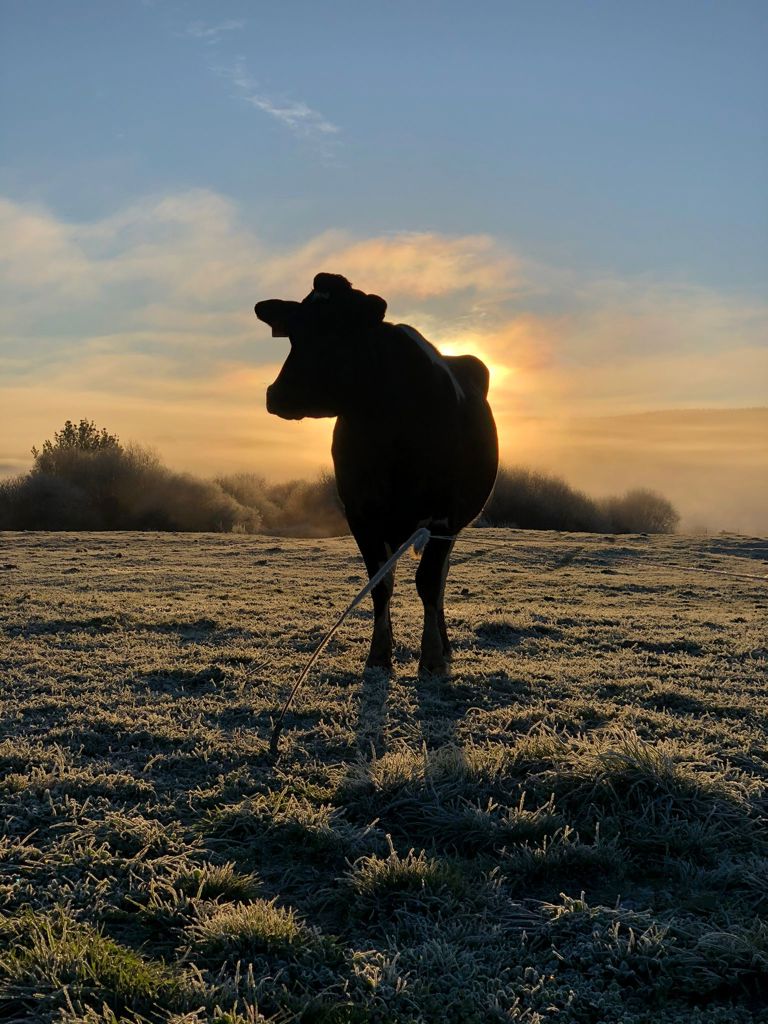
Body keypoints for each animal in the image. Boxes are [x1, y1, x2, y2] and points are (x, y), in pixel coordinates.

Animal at [256, 272, 501, 675]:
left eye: (338, 330)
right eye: (294, 331)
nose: (277, 395)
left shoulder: (443, 515)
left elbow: (428, 582)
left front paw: (432, 656)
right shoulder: (360, 511)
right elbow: (380, 582)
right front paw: (379, 653)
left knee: (441, 578)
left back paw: (445, 644)